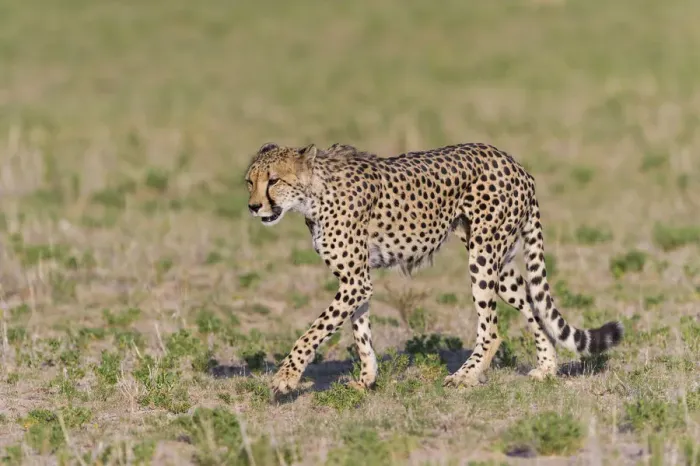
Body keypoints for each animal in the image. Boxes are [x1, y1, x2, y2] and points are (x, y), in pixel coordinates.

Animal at [244, 141, 624, 395]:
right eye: (250, 181)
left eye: (273, 180)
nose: (253, 207)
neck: (314, 193)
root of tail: (515, 163)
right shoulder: (359, 281)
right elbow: (360, 332)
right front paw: (367, 379)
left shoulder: (354, 281)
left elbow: (314, 331)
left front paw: (286, 378)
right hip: (498, 263)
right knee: (532, 303)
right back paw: (546, 368)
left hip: (483, 257)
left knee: (491, 330)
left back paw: (465, 376)